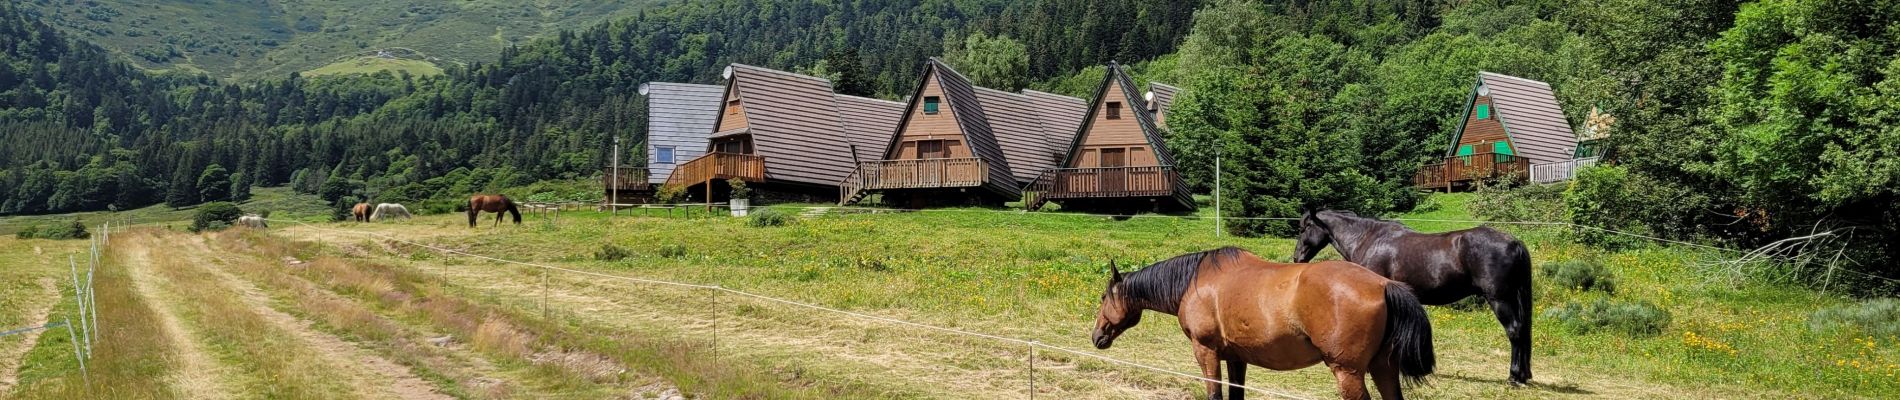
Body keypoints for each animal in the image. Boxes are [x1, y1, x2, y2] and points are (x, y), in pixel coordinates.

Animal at [1094, 246, 1428, 400]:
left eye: (1102, 296)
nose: (1096, 336)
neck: (1194, 282)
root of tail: (1384, 284)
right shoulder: (1235, 358)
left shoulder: (1206, 352)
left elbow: (1214, 394)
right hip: (1383, 367)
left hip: (1348, 372)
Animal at [1284, 211, 1535, 386]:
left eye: (1304, 228)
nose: (1297, 258)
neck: (1369, 239)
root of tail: (1514, 242)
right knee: (1523, 330)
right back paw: (1524, 375)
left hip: (1500, 299)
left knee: (1514, 331)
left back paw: (1514, 377)